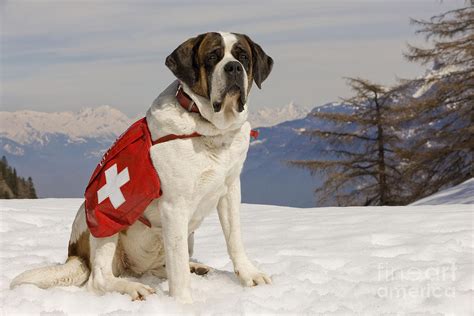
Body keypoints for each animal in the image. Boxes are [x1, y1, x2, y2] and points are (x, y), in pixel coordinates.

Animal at [10, 32, 274, 304]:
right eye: (212, 57)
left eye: (243, 56)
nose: (233, 67)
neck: (209, 129)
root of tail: (75, 252)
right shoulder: (174, 206)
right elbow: (178, 269)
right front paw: (183, 304)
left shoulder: (230, 189)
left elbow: (234, 238)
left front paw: (250, 275)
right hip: (105, 218)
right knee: (100, 278)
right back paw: (132, 287)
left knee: (161, 266)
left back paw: (196, 267)